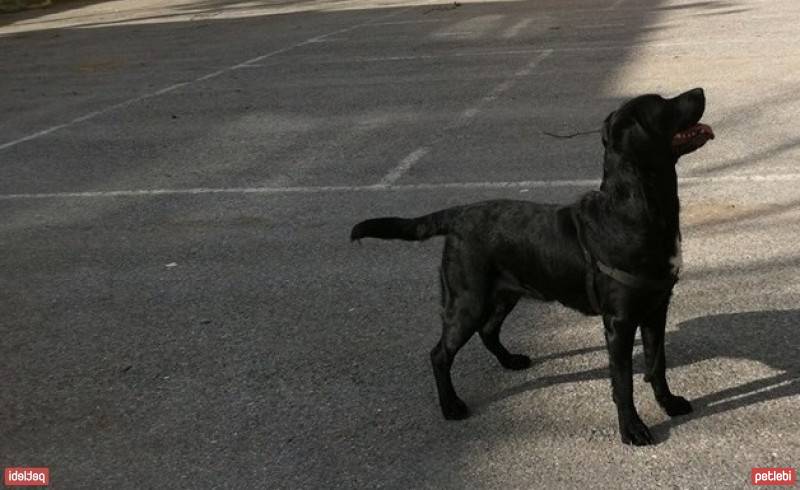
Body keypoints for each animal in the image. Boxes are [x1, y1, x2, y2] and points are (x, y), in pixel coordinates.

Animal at [354, 87, 716, 444]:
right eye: (662, 104)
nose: (700, 90)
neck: (637, 208)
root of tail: (458, 214)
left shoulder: (656, 308)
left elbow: (657, 364)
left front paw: (669, 403)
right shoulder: (620, 322)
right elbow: (623, 383)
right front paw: (632, 429)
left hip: (504, 294)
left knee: (488, 331)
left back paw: (510, 360)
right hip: (467, 301)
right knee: (440, 354)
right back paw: (451, 406)